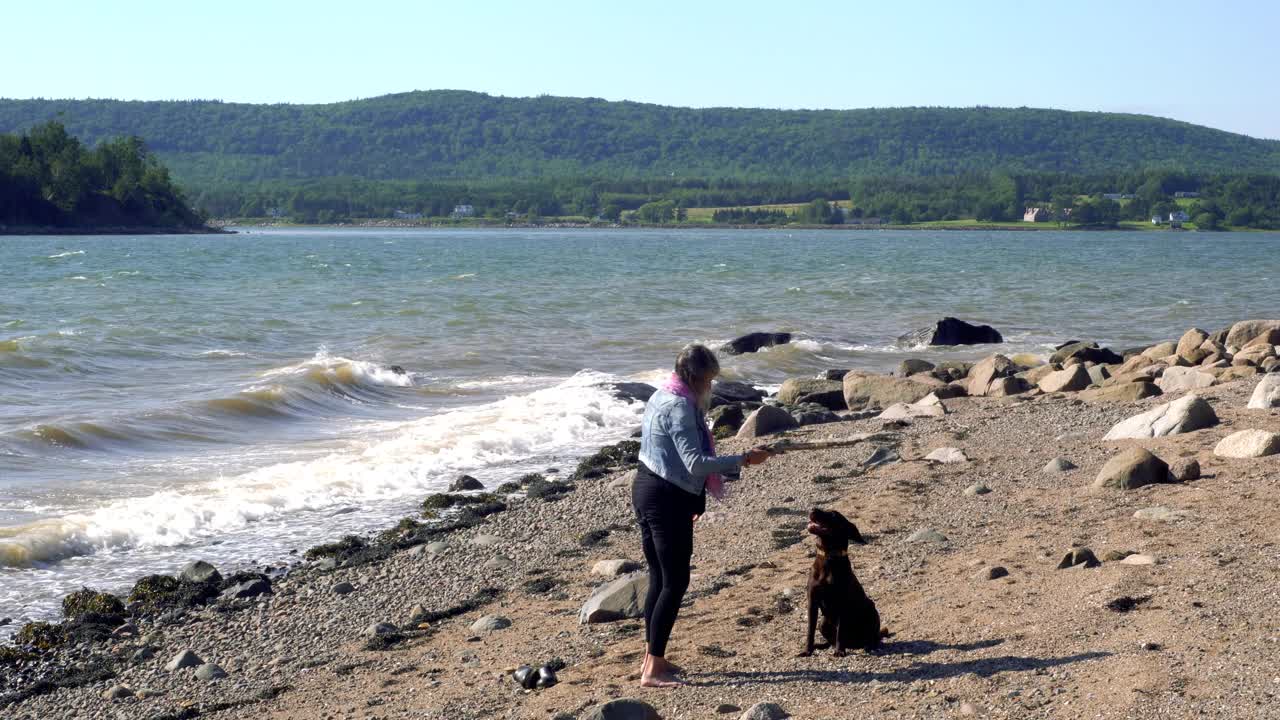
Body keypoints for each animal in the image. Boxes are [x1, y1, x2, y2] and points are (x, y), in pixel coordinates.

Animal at [793, 504, 885, 655]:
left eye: (833, 515)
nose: (812, 509)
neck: (829, 556)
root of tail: (854, 644)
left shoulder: (842, 603)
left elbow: (840, 631)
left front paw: (839, 651)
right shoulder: (812, 602)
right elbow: (810, 630)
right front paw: (807, 650)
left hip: (871, 610)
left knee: (873, 637)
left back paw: (868, 646)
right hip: (823, 622)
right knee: (830, 640)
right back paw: (821, 645)